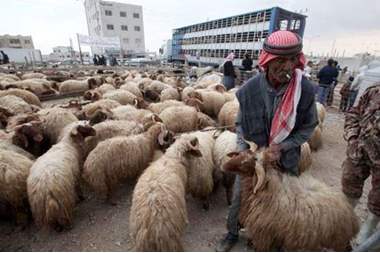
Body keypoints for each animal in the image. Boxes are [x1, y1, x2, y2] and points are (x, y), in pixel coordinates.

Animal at [223, 146, 360, 251]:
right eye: (241, 154)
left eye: (246, 162)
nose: (224, 165)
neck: (270, 193)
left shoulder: (264, 235)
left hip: (338, 240)